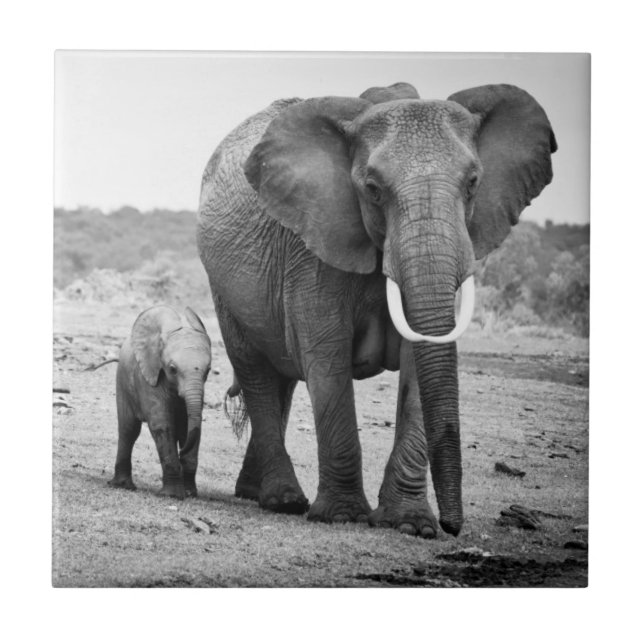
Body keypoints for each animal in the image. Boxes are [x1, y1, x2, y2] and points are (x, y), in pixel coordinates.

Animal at [108, 305, 212, 499]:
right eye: (172, 369)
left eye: (208, 371)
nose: (182, 452)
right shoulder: (148, 377)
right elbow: (162, 425)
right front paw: (172, 495)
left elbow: (191, 427)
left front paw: (190, 493)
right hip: (123, 382)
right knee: (128, 430)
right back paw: (123, 486)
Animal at [197, 81, 556, 537]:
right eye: (372, 188)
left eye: (473, 182)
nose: (453, 527)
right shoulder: (313, 248)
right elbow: (326, 358)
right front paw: (343, 517)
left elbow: (419, 365)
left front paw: (411, 525)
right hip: (221, 284)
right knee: (256, 370)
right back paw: (283, 501)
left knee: (283, 377)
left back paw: (254, 493)